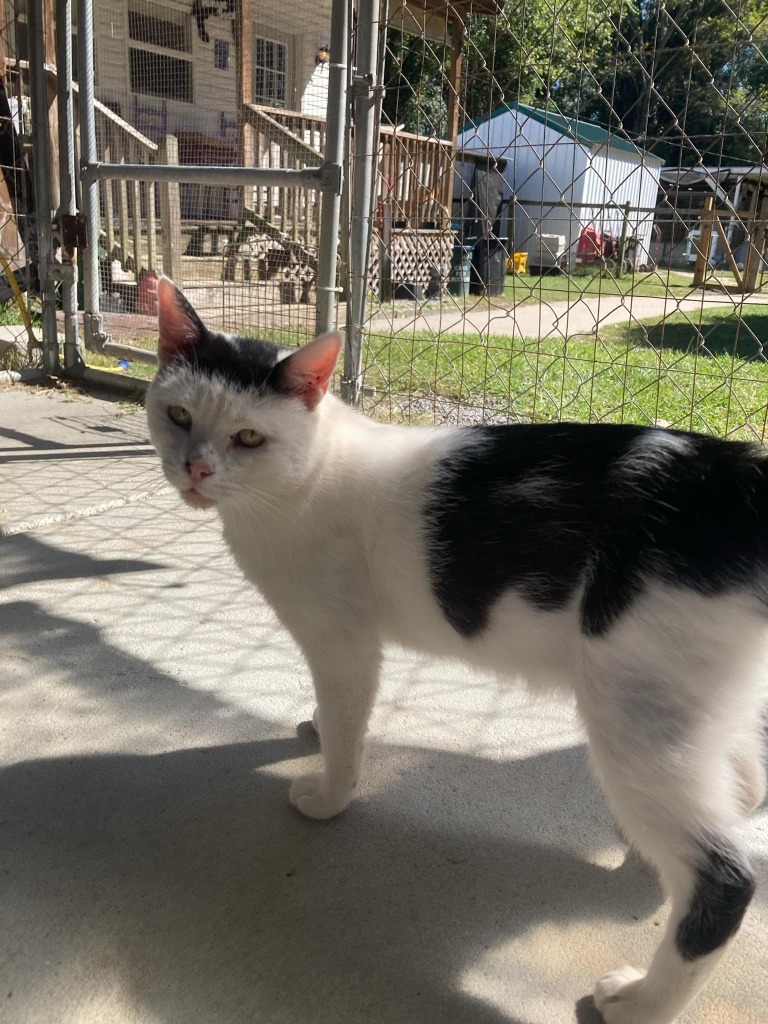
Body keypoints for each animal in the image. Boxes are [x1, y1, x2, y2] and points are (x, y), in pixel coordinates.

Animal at [147, 278, 765, 1024]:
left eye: (247, 437)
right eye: (178, 414)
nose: (196, 469)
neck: (307, 474)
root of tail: (738, 475)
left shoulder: (344, 644)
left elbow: (349, 727)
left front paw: (329, 793)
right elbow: (334, 714)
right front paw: (318, 726)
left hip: (635, 712)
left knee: (724, 877)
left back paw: (640, 999)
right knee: (742, 783)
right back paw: (647, 854)